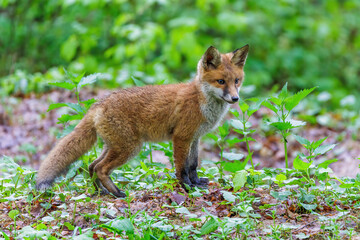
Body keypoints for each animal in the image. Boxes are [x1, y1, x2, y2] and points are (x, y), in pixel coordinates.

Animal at [37, 44, 250, 197]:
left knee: (92, 166)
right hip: (130, 147)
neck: (201, 101)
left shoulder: (195, 138)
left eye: (236, 81)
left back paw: (100, 192)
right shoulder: (181, 137)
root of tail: (98, 104)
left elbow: (193, 165)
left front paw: (197, 183)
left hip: (113, 146)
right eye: (221, 82)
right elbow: (181, 168)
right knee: (100, 168)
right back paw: (117, 193)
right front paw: (187, 187)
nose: (235, 98)